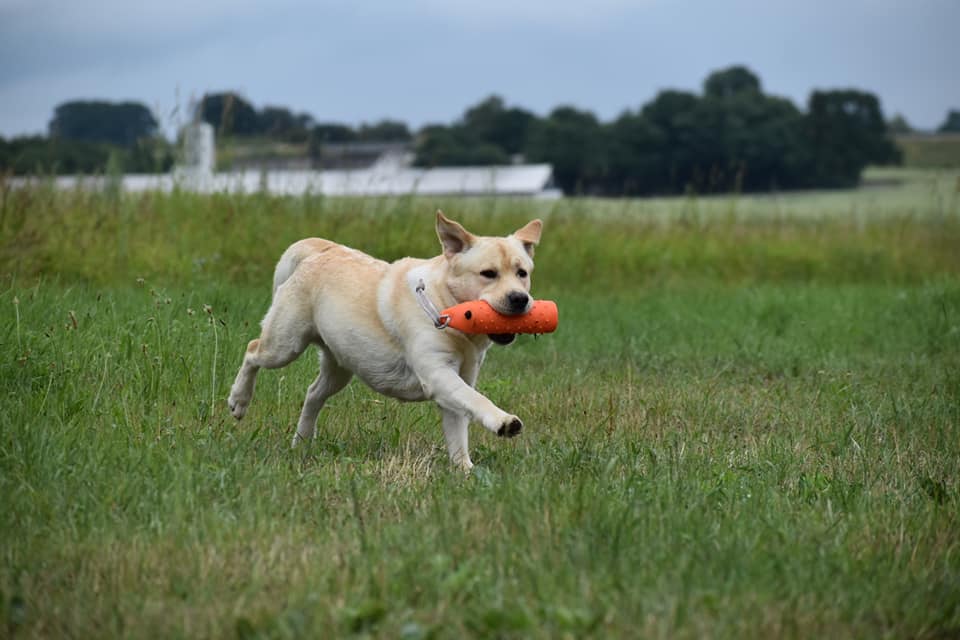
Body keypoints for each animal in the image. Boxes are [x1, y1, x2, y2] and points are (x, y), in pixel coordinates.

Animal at [225, 212, 540, 468]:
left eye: (522, 273)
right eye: (488, 274)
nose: (520, 299)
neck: (443, 307)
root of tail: (323, 249)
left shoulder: (460, 380)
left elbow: (458, 432)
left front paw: (465, 471)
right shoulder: (438, 375)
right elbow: (476, 399)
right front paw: (504, 422)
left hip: (340, 364)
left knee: (313, 393)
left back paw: (301, 442)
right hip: (285, 344)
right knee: (252, 351)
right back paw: (239, 401)